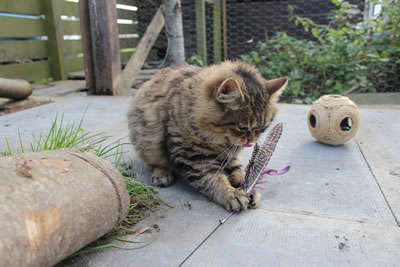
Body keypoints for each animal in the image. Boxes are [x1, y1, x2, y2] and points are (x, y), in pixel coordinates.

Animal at [128, 61, 288, 214]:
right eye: (242, 127)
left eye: (263, 127)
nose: (251, 140)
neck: (220, 142)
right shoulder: (194, 159)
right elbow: (214, 180)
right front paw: (232, 194)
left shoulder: (231, 156)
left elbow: (239, 172)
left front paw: (249, 189)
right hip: (148, 141)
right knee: (157, 162)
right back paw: (162, 175)